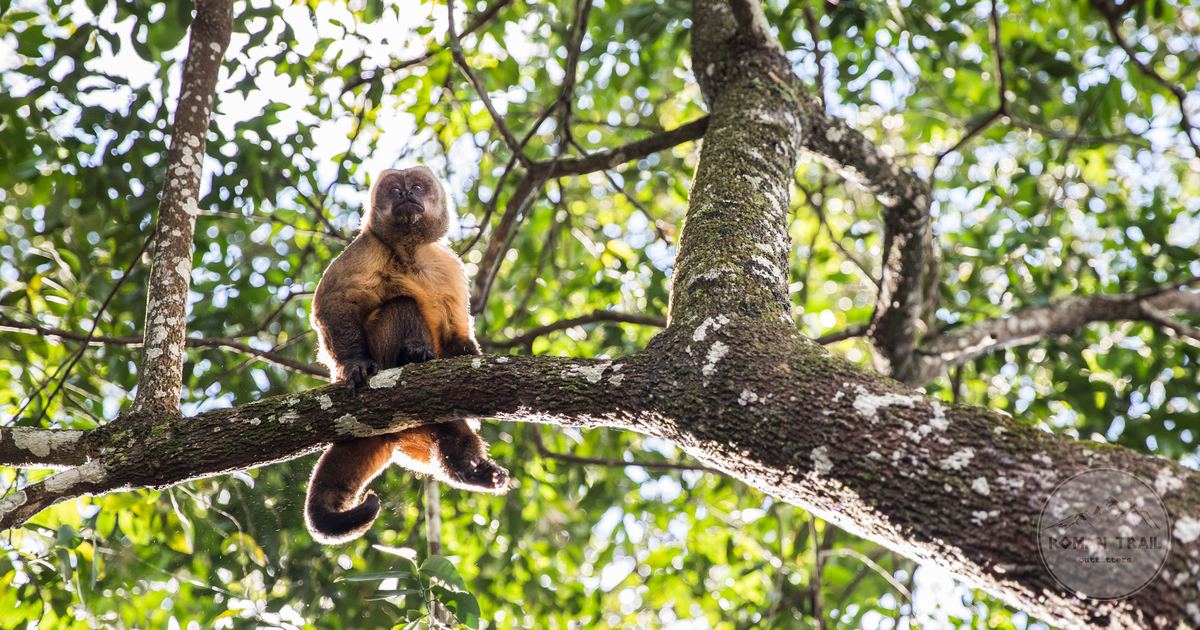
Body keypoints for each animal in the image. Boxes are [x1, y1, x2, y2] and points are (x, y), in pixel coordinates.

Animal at [305, 165, 509, 545]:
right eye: (394, 190)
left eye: (416, 186)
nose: (405, 194)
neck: (408, 251)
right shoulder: (365, 249)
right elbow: (333, 302)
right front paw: (354, 365)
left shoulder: (448, 265)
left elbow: (456, 333)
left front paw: (466, 354)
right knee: (400, 304)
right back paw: (411, 354)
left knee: (451, 426)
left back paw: (467, 469)